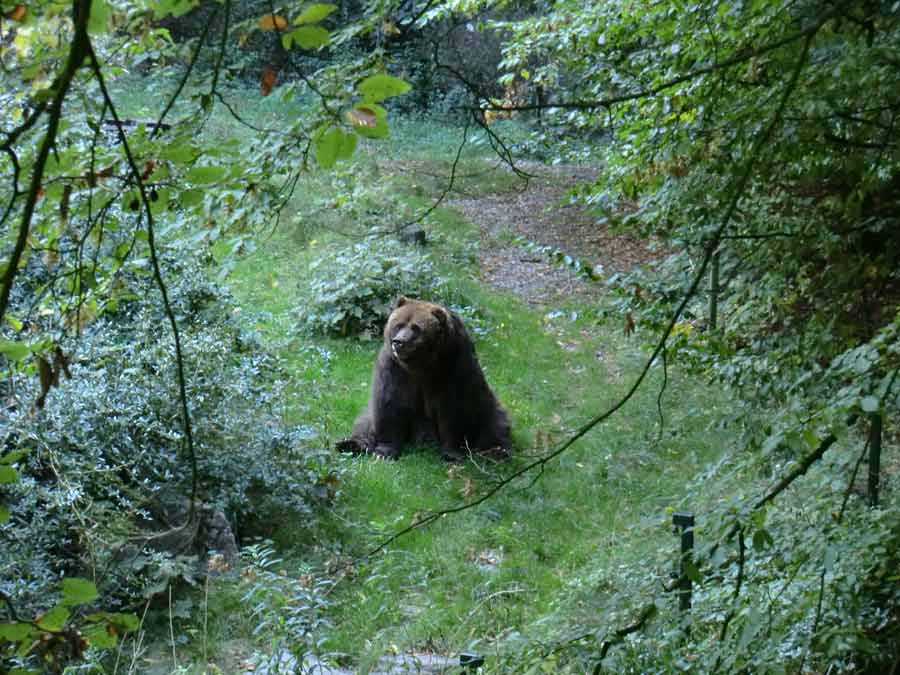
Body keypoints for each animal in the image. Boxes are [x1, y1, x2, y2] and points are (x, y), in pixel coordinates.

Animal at [338, 298, 510, 462]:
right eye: (398, 325)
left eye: (416, 328)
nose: (398, 342)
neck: (422, 365)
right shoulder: (394, 368)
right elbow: (389, 403)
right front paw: (384, 451)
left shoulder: (454, 368)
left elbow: (454, 410)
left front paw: (452, 453)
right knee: (365, 421)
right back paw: (349, 444)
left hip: (487, 408)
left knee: (495, 426)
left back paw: (496, 452)